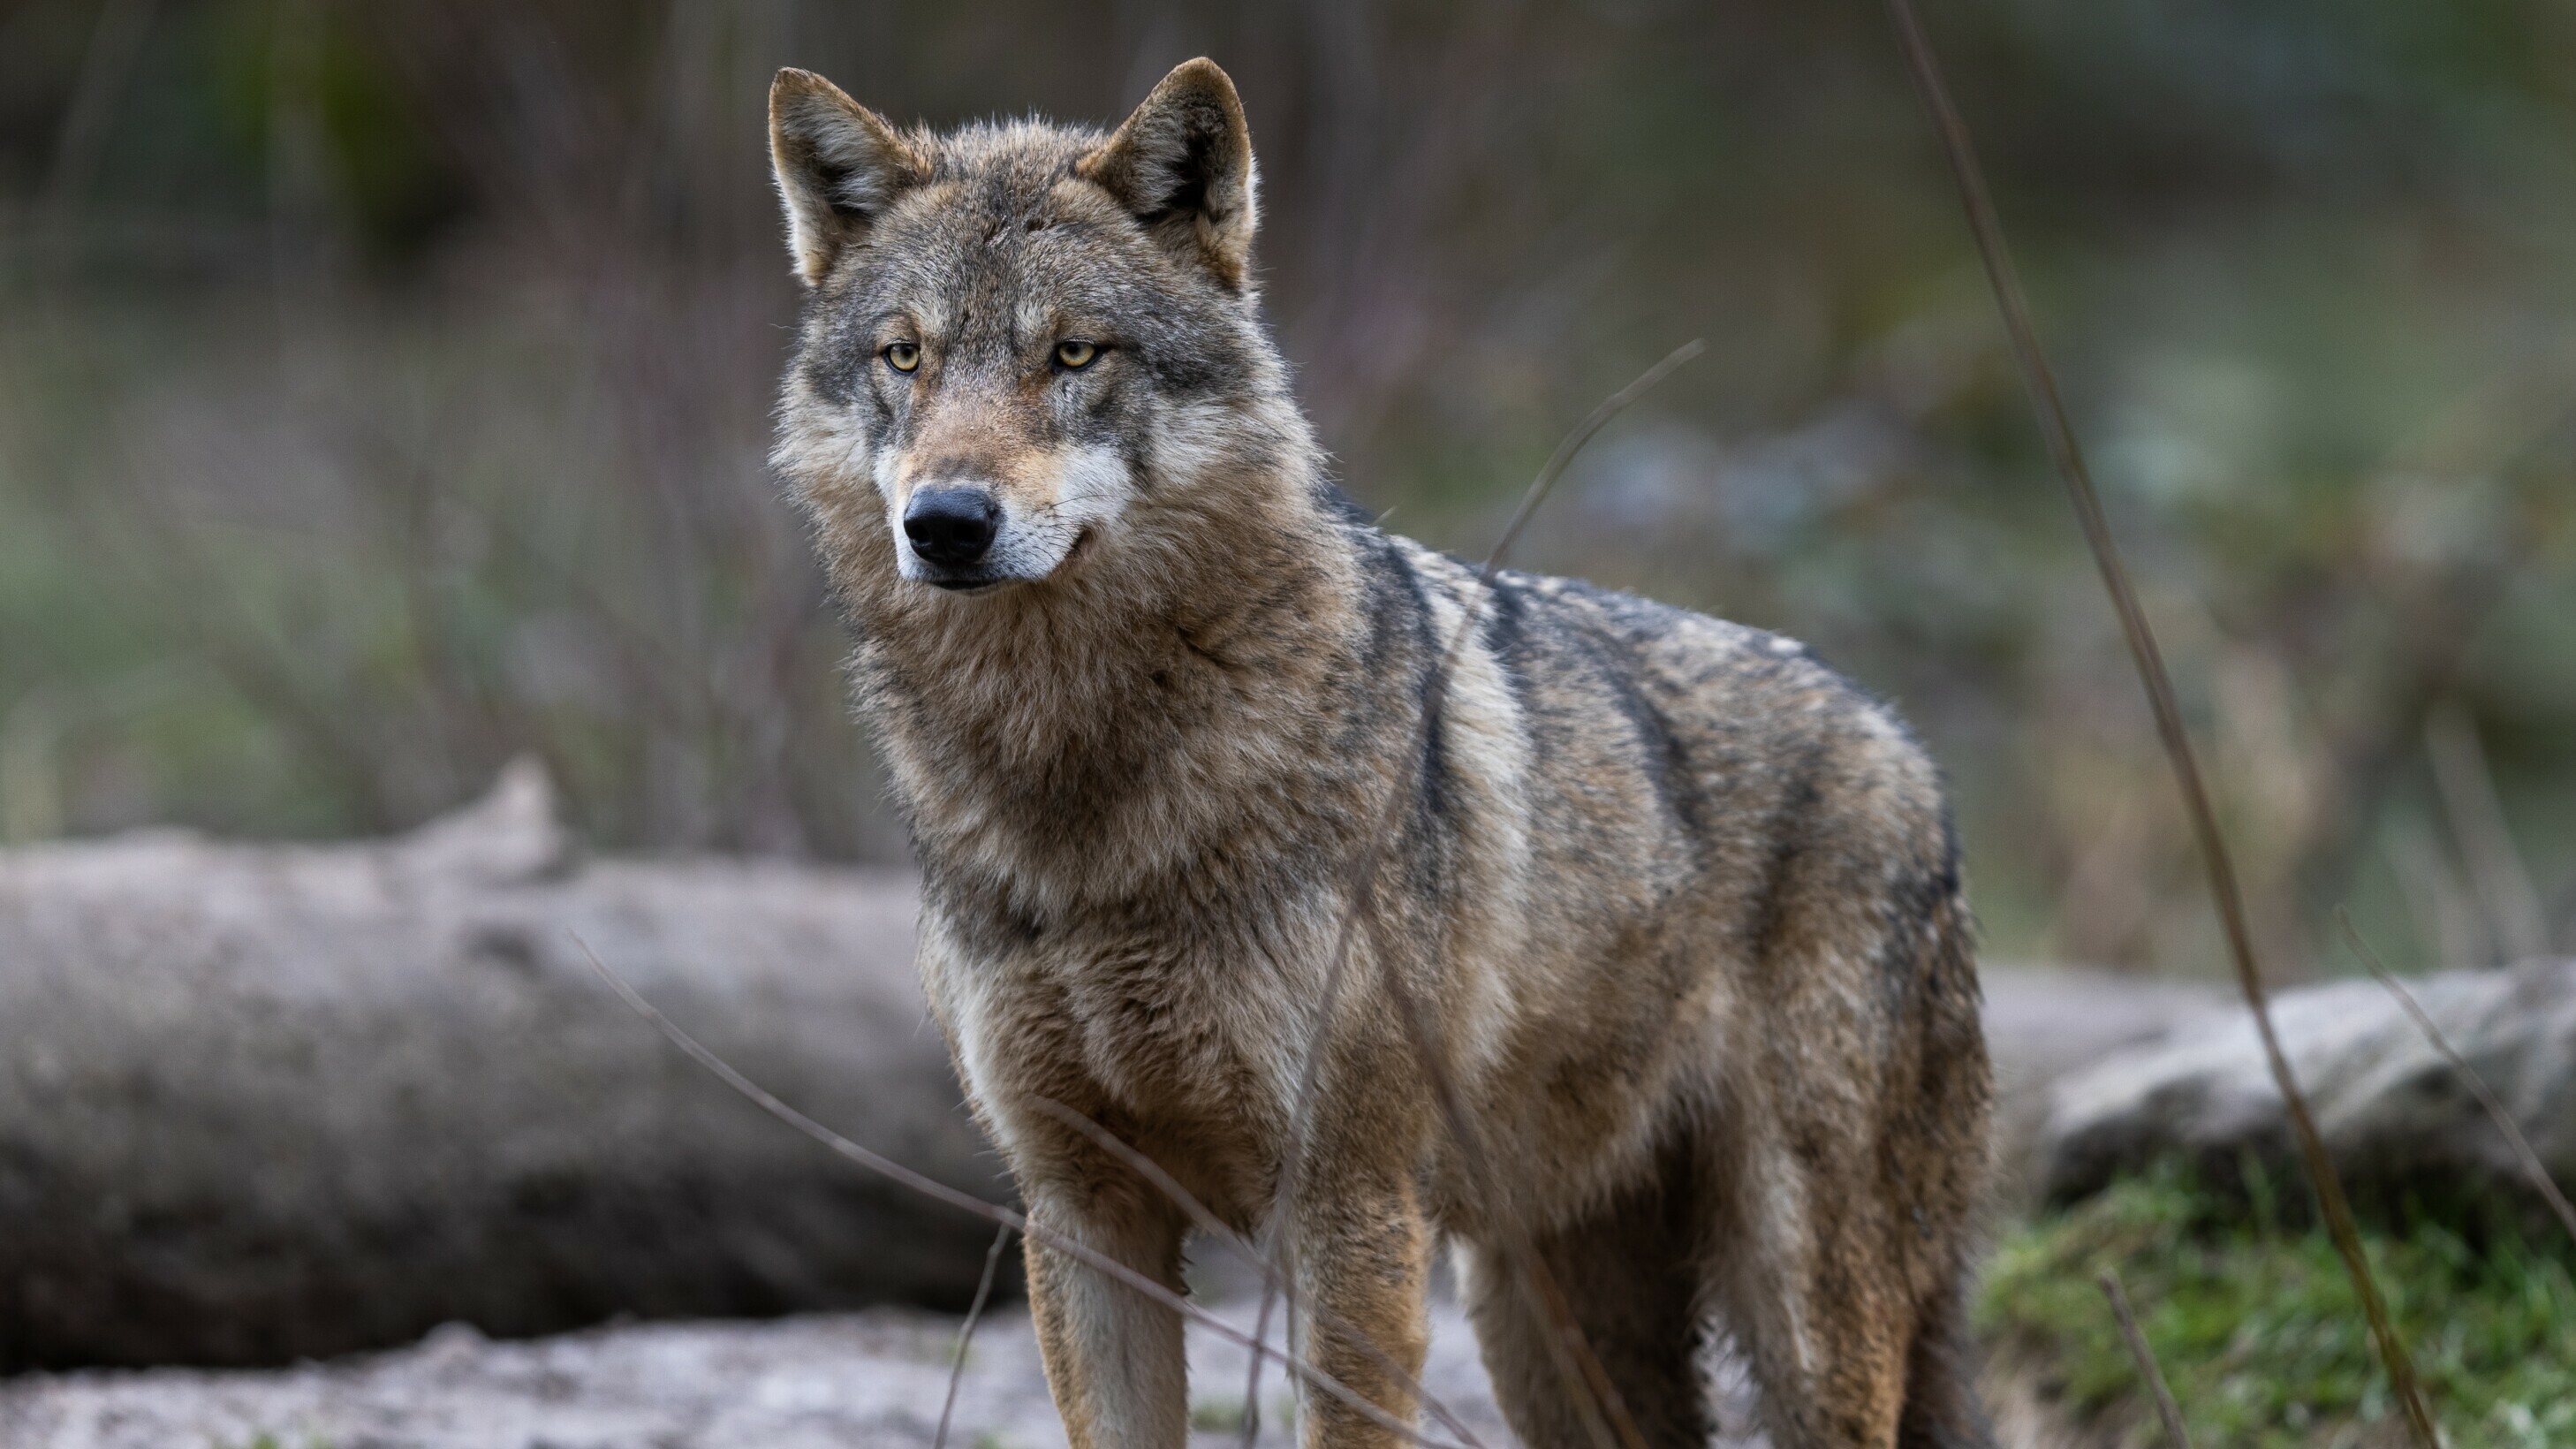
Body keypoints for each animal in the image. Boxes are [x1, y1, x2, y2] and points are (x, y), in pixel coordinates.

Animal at [766, 57, 1995, 1449]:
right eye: (904, 357)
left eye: (1072, 352)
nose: (946, 522)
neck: (1085, 786)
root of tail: (1905, 745)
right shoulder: (1080, 1206)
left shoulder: (1349, 1207)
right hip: (1540, 1322)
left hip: (1795, 1315)